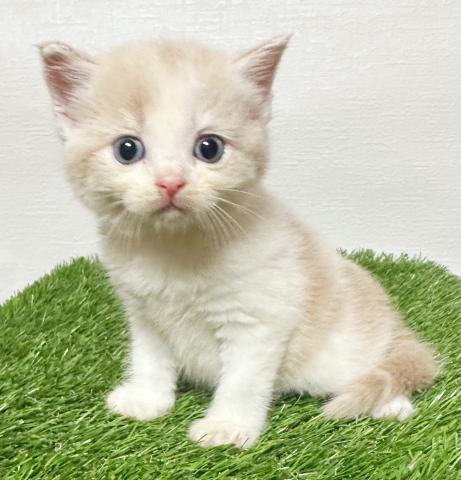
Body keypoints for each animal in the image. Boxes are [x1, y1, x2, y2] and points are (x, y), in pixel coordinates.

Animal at [39, 35, 438, 449]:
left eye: (209, 148)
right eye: (127, 149)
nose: (171, 182)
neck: (174, 248)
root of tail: (394, 322)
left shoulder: (260, 317)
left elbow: (242, 380)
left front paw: (227, 428)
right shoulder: (143, 313)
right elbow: (149, 358)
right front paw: (147, 399)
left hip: (342, 350)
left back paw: (391, 404)